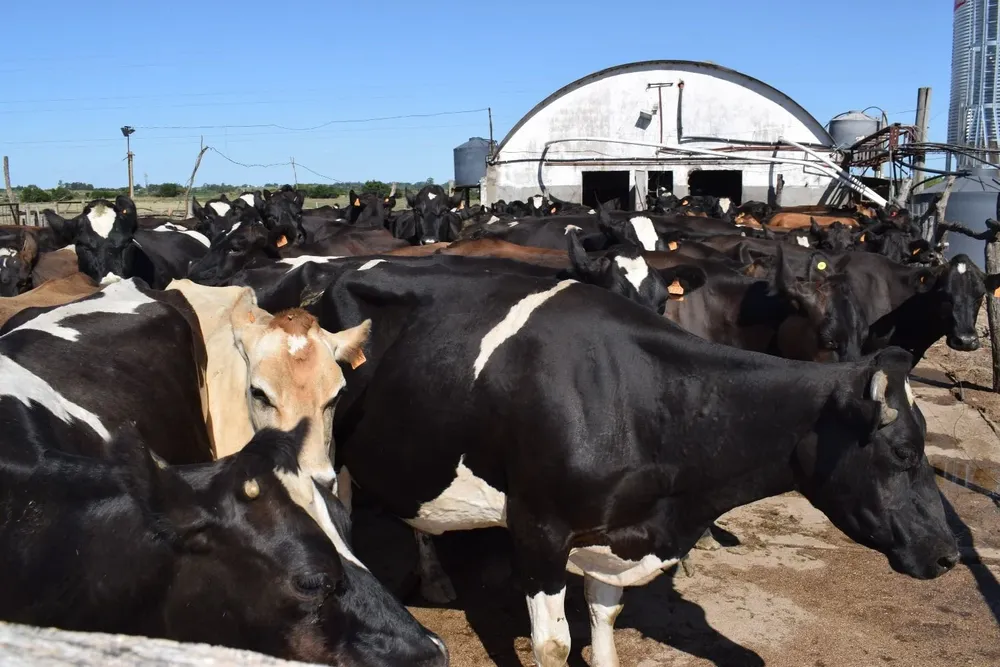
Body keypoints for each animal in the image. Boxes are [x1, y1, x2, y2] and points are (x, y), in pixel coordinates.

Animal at [280, 260, 952, 667]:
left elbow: (605, 625)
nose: (950, 555)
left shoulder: (615, 530)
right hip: (328, 450)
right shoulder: (538, 528)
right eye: (903, 453)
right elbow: (553, 645)